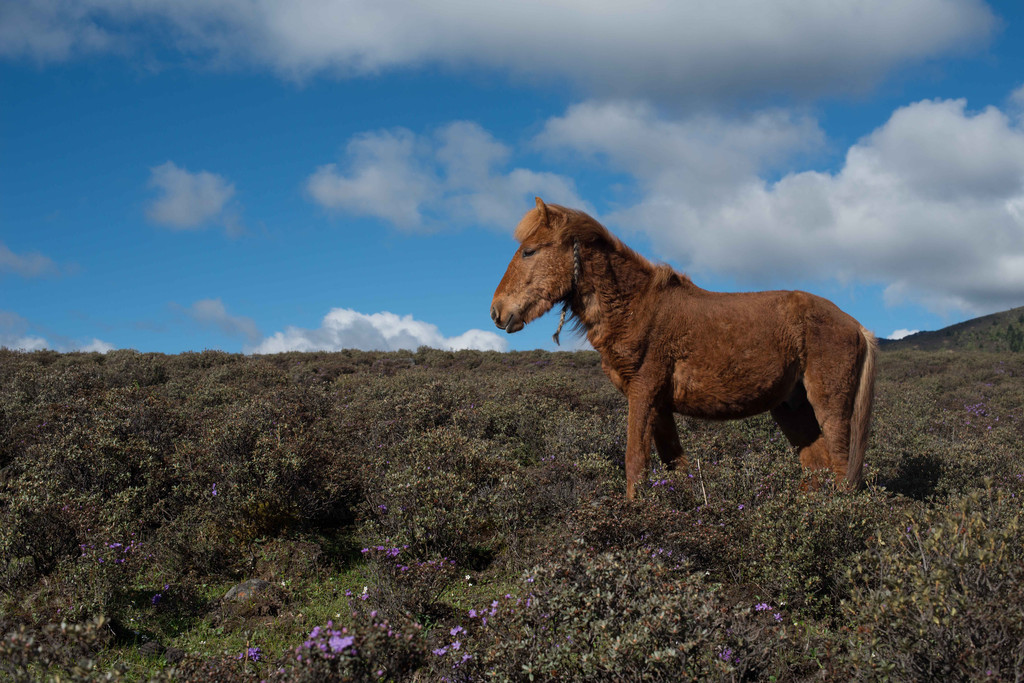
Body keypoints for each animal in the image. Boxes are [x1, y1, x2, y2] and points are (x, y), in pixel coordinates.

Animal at [491, 197, 876, 497]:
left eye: (529, 251)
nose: (497, 312)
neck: (637, 308)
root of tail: (857, 326)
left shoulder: (643, 394)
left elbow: (636, 463)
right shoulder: (659, 405)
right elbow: (676, 465)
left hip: (829, 405)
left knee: (841, 468)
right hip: (791, 407)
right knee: (816, 467)